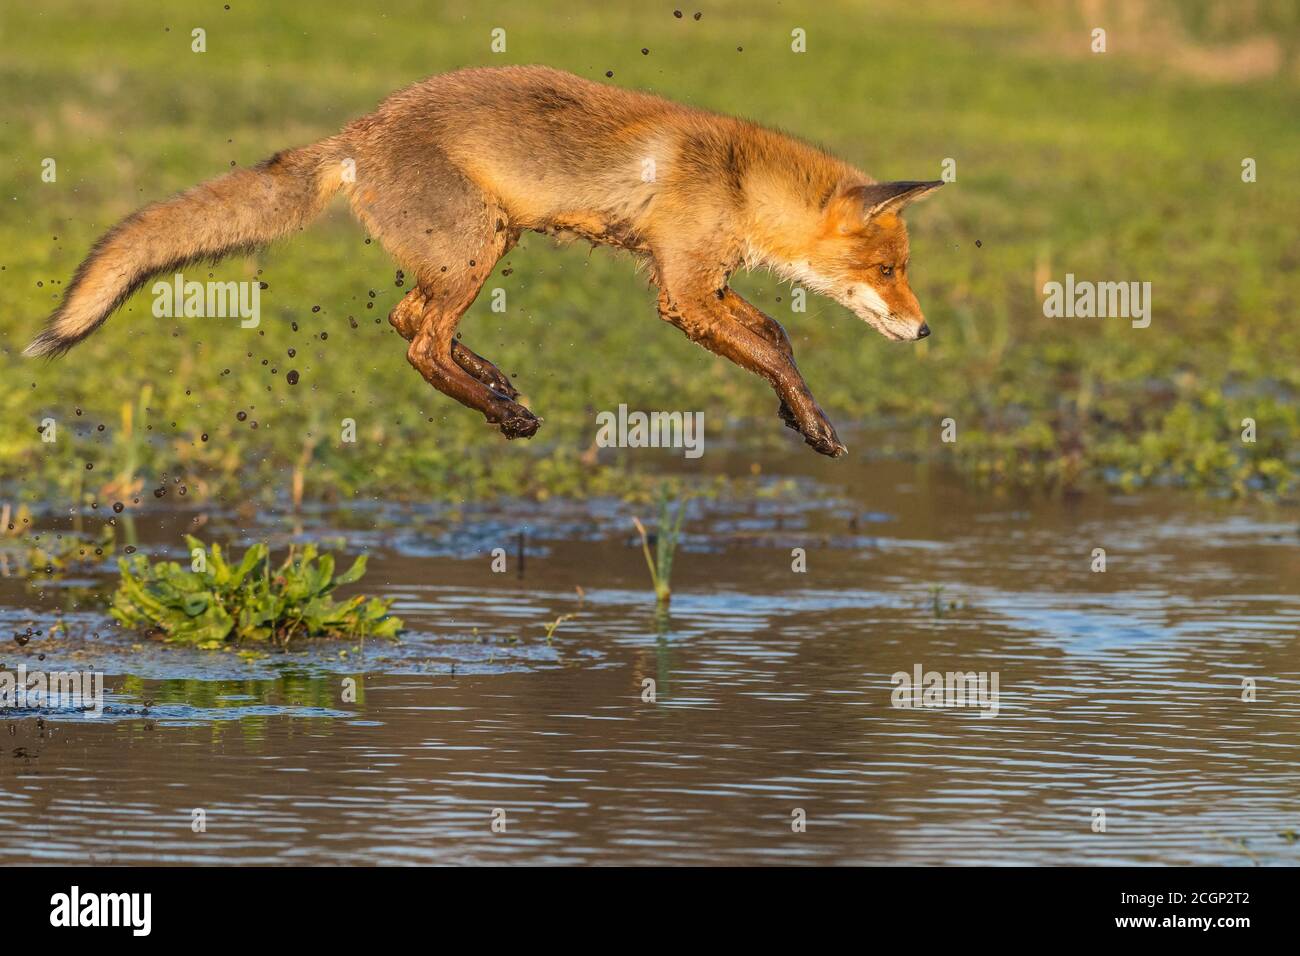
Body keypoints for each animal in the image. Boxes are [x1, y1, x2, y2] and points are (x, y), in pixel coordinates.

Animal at [25, 65, 941, 457]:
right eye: (890, 272)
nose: (926, 332)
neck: (739, 180)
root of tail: (358, 133)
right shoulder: (681, 291)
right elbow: (774, 350)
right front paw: (816, 427)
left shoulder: (705, 281)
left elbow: (778, 338)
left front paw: (801, 417)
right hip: (475, 245)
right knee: (420, 341)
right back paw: (505, 413)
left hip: (484, 241)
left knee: (409, 321)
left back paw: (496, 382)